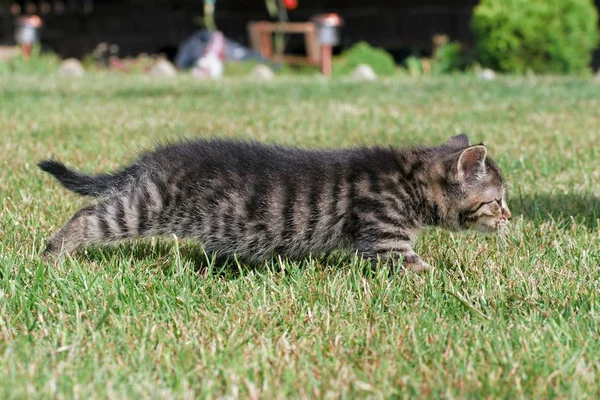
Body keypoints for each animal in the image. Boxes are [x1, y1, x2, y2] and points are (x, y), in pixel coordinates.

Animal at [37, 134, 510, 272]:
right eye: (497, 201)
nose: (510, 218)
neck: (409, 181)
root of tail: (158, 158)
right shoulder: (387, 243)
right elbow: (425, 270)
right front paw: (467, 277)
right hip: (147, 206)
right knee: (88, 215)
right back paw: (53, 255)